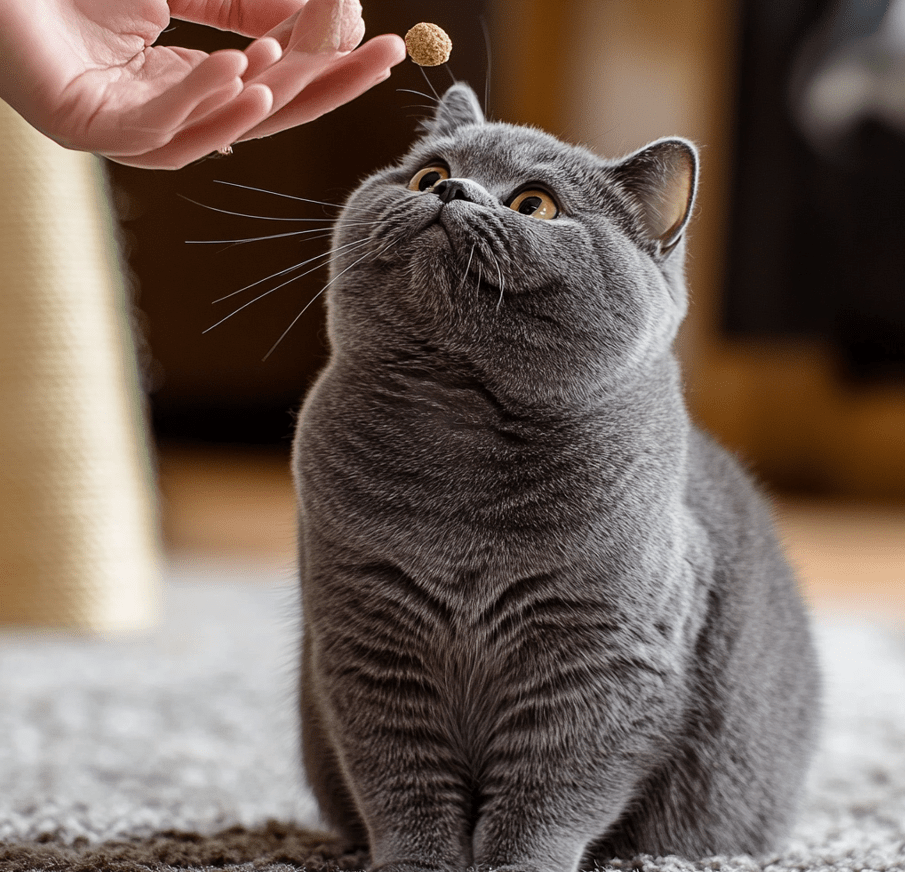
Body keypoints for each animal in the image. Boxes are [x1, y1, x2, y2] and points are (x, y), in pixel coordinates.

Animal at [294, 80, 824, 864]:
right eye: (427, 174)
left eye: (534, 204)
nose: (449, 189)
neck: (458, 440)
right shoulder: (366, 638)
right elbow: (401, 779)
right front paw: (419, 862)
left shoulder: (602, 660)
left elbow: (547, 793)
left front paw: (514, 864)